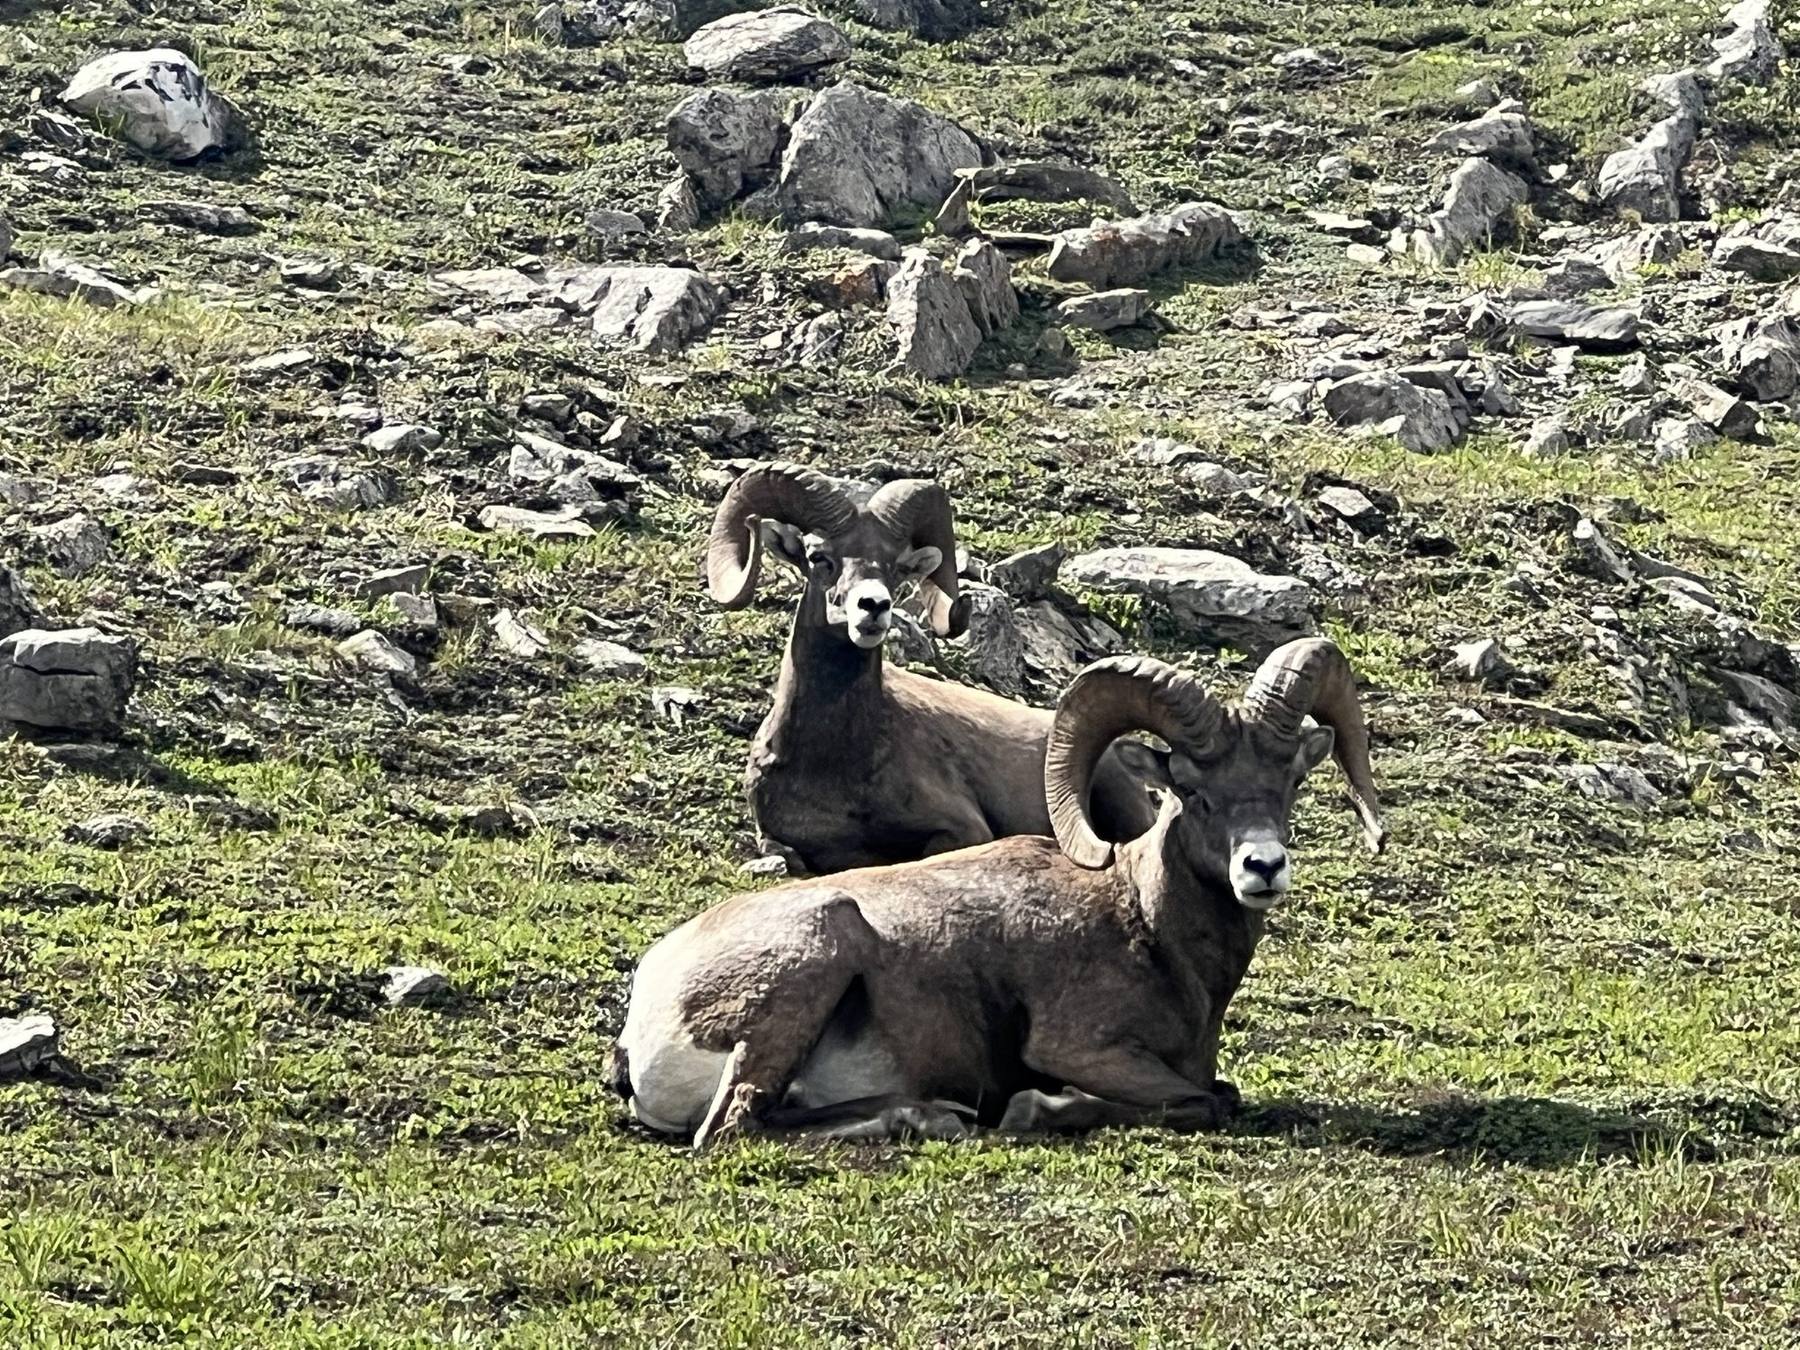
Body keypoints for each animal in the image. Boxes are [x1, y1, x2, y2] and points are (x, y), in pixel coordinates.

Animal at [608, 637, 1386, 1148]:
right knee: (731, 1127)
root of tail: (648, 1010)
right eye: (1192, 791)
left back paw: (928, 1115)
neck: (1144, 923)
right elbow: (1204, 1100)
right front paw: (1033, 1111)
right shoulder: (1083, 1049)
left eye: (1290, 781)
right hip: (823, 945)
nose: (1262, 867)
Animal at [706, 461, 1159, 874]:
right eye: (819, 557)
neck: (831, 763)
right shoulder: (776, 840)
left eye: (895, 566)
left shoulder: (964, 829)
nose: (874, 607)